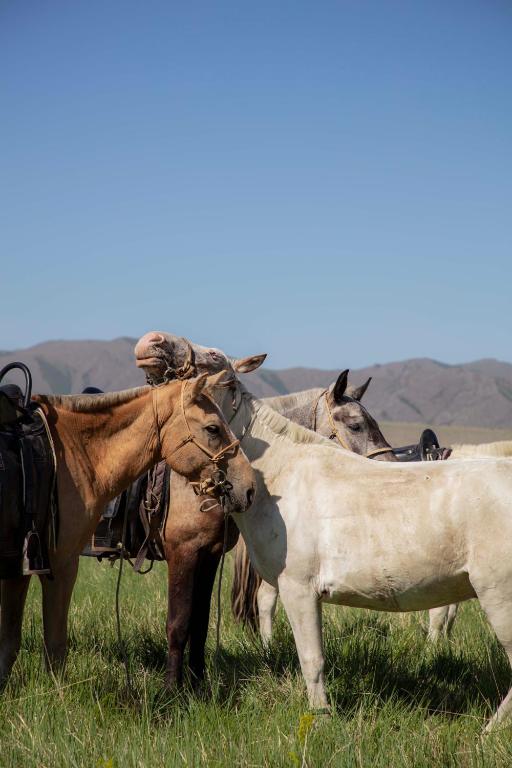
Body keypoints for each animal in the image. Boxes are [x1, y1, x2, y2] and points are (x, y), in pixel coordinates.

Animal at [133, 333, 394, 689]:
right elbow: (179, 623)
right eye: (355, 425)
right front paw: (172, 690)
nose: (151, 342)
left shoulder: (209, 554)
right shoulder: (182, 552)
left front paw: (198, 685)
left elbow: (199, 625)